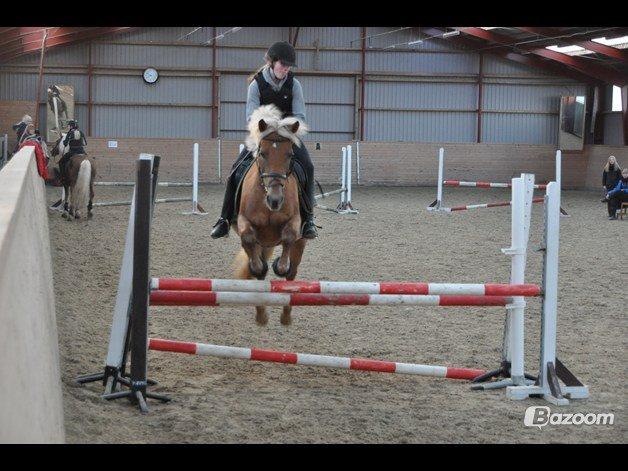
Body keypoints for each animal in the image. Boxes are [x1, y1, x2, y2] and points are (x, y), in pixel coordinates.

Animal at [233, 104, 310, 324]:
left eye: (290, 154)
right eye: (263, 153)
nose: (275, 200)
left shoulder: (295, 222)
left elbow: (288, 238)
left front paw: (279, 265)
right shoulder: (243, 222)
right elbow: (248, 240)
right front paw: (259, 267)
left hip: (301, 244)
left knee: (292, 274)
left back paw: (285, 317)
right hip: (263, 244)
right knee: (259, 273)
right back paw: (261, 316)